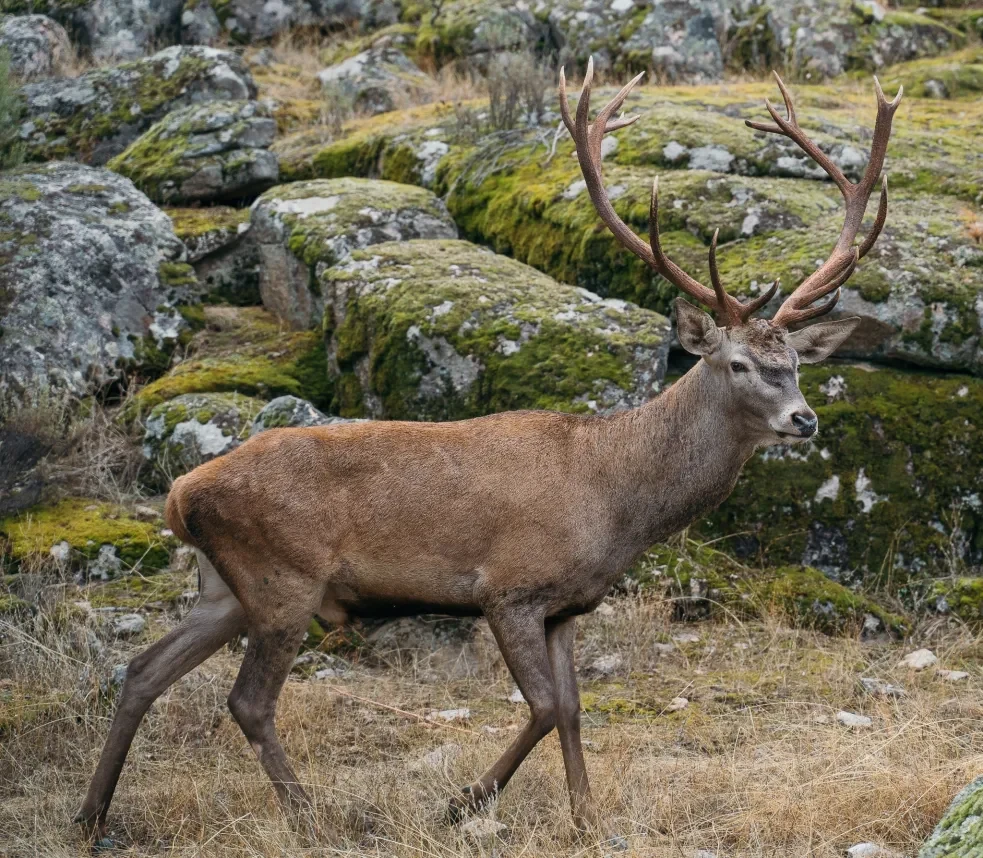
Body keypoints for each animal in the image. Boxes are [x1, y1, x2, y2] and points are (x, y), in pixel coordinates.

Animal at [75, 61, 901, 849]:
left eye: (794, 362)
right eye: (737, 364)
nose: (803, 419)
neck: (616, 498)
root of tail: (179, 493)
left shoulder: (568, 605)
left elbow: (573, 708)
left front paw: (585, 821)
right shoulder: (509, 586)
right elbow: (542, 707)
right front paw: (459, 803)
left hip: (223, 586)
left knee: (142, 670)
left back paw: (90, 815)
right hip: (283, 578)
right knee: (247, 700)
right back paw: (310, 819)